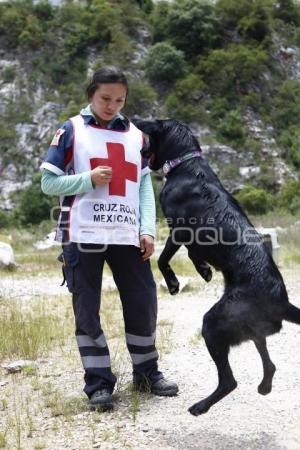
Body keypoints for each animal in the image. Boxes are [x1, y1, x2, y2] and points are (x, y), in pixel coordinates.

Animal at [134, 118, 300, 416]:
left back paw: (201, 406)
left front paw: (174, 282)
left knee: (229, 381)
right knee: (269, 364)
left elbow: (163, 258)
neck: (185, 163)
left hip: (214, 323)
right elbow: (192, 254)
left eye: (153, 124)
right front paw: (204, 269)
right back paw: (264, 386)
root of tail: (281, 301)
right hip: (249, 328)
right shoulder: (189, 237)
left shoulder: (180, 230)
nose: (134, 119)